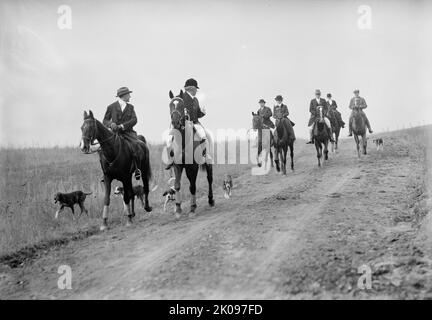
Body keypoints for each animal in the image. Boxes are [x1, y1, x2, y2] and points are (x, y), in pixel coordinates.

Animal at [168, 89, 213, 218]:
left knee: (209, 178)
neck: (183, 141)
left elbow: (192, 186)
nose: (175, 122)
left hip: (207, 162)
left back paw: (211, 200)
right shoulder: (177, 166)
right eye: (170, 105)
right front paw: (178, 209)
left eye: (181, 105)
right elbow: (177, 185)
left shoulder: (192, 167)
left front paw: (192, 208)